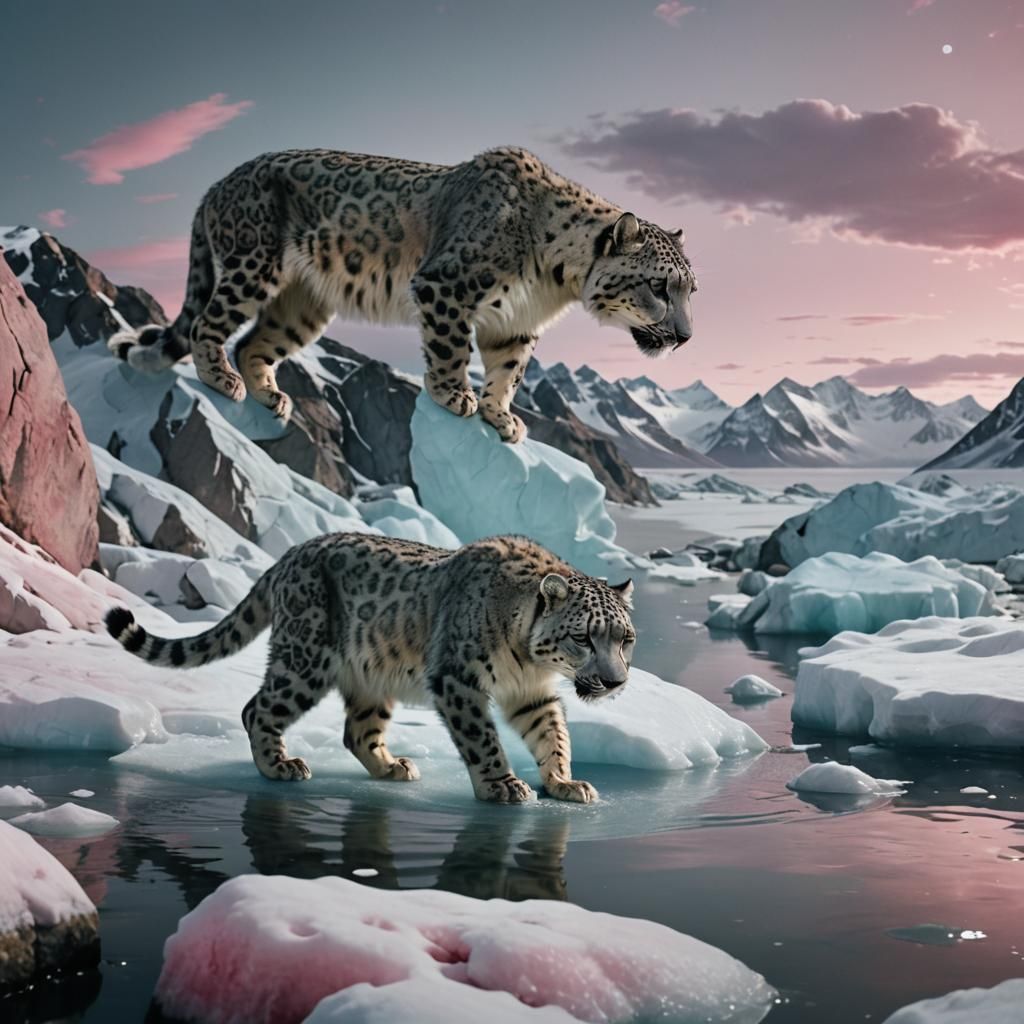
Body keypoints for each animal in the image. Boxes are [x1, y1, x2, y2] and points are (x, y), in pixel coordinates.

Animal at [105, 532, 636, 804]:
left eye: (625, 639)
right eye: (584, 636)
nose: (615, 682)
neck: (527, 663)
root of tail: (289, 555)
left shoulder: (533, 693)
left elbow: (553, 734)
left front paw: (565, 782)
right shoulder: (458, 679)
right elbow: (482, 737)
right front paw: (503, 785)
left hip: (372, 678)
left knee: (357, 730)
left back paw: (393, 766)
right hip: (304, 660)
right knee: (257, 708)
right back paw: (281, 766)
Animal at [107, 146, 697, 443]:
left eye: (691, 289)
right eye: (658, 286)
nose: (687, 337)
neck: (555, 282)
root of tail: (215, 185)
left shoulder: (515, 325)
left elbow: (509, 372)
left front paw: (501, 415)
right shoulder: (448, 284)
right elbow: (451, 347)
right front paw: (455, 395)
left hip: (303, 304)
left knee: (255, 341)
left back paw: (271, 395)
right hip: (252, 263)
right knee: (208, 322)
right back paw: (222, 379)